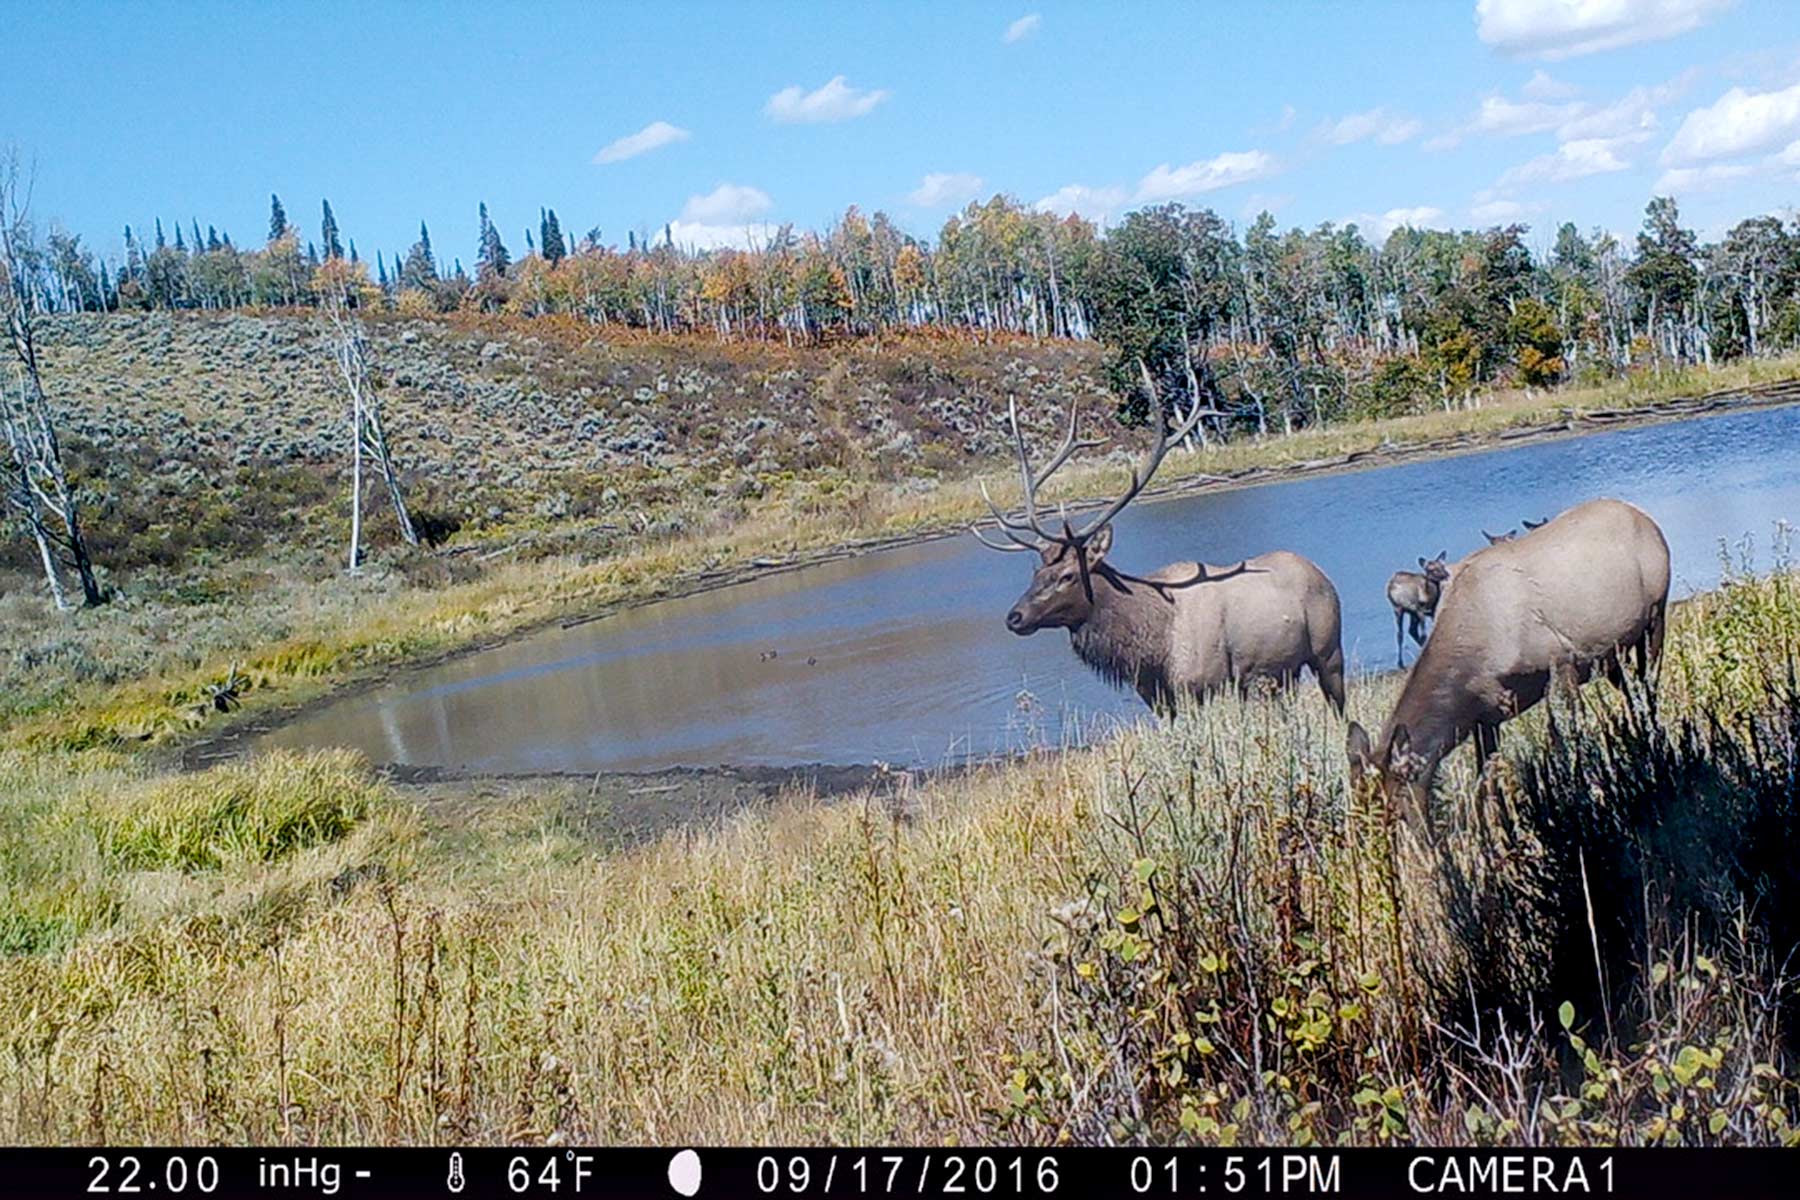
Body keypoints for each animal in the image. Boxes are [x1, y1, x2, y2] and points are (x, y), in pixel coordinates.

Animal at [973, 371, 1346, 716]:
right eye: (1035, 574)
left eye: (1067, 576)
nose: (1015, 617)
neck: (1151, 646)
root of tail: (1320, 572)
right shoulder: (1154, 695)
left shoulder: (1202, 684)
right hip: (1282, 671)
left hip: (1329, 651)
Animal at [1347, 498, 1670, 829]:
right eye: (1357, 809)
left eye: (1392, 813)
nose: (1386, 848)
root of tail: (1644, 517)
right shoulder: (1484, 715)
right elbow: (1486, 781)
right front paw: (1493, 827)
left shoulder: (1562, 661)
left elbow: (1571, 741)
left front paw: (1589, 793)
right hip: (1612, 656)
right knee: (1630, 691)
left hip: (1656, 615)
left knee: (1649, 684)